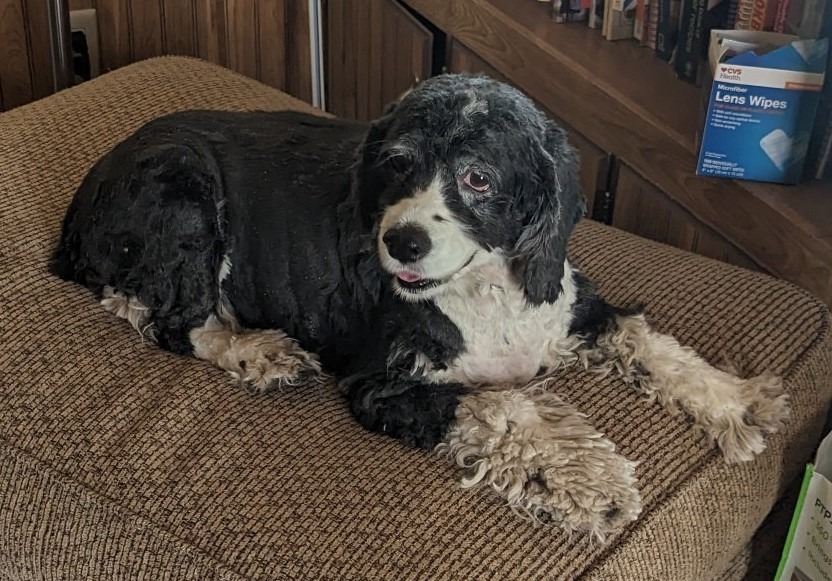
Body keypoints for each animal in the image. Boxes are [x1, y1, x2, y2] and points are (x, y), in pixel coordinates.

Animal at [53, 75, 792, 540]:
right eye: (398, 163)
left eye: (478, 177)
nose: (401, 240)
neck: (485, 290)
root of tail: (81, 204)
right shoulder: (380, 385)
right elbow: (501, 405)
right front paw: (589, 483)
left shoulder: (572, 307)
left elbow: (650, 342)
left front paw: (740, 402)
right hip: (182, 195)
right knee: (166, 318)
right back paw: (259, 350)